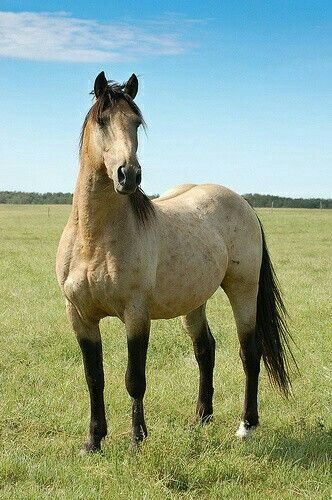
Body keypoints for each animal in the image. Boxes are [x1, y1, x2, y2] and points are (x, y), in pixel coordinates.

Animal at [55, 71, 294, 454]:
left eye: (136, 123)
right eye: (102, 120)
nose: (128, 175)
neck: (94, 239)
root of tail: (243, 203)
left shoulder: (136, 314)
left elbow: (134, 379)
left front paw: (137, 440)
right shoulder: (79, 315)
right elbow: (94, 378)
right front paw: (93, 441)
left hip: (243, 291)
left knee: (249, 353)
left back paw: (246, 425)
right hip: (194, 301)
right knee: (205, 349)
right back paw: (202, 418)